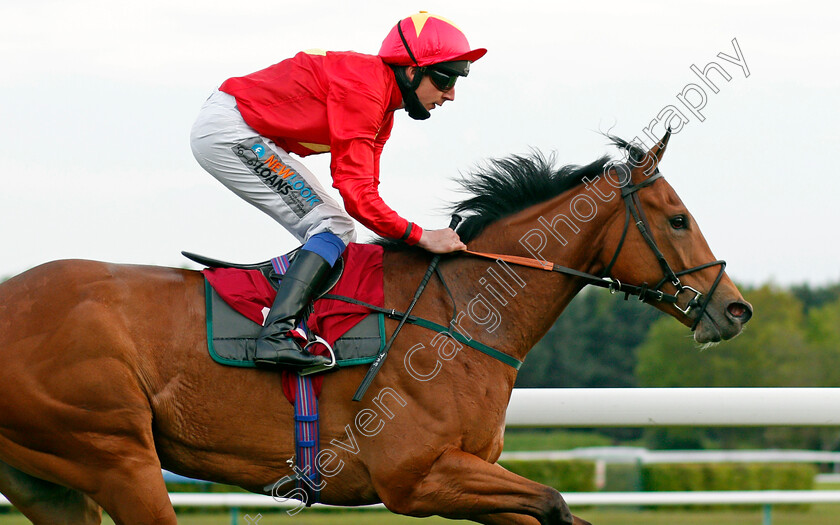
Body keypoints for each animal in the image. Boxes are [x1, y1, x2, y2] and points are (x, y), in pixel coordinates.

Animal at [0, 132, 756, 524]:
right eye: (678, 218)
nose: (735, 309)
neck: (461, 311)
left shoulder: (469, 474)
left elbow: (548, 509)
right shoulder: (416, 476)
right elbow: (555, 501)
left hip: (50, 478)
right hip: (115, 453)